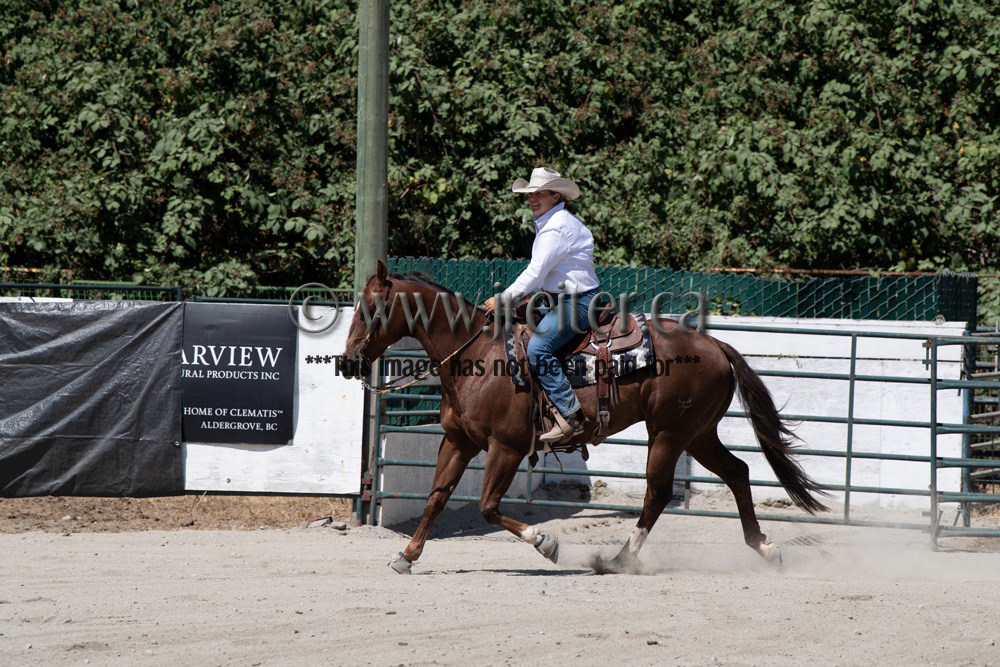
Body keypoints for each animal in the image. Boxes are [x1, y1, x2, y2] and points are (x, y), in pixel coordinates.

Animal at [341, 261, 828, 574]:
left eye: (370, 309)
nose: (347, 362)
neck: (475, 355)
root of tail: (715, 345)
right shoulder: (458, 441)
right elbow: (437, 497)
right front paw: (406, 556)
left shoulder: (507, 447)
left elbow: (487, 507)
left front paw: (547, 543)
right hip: (698, 433)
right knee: (738, 472)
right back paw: (764, 548)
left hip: (669, 432)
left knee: (658, 492)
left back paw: (618, 560)